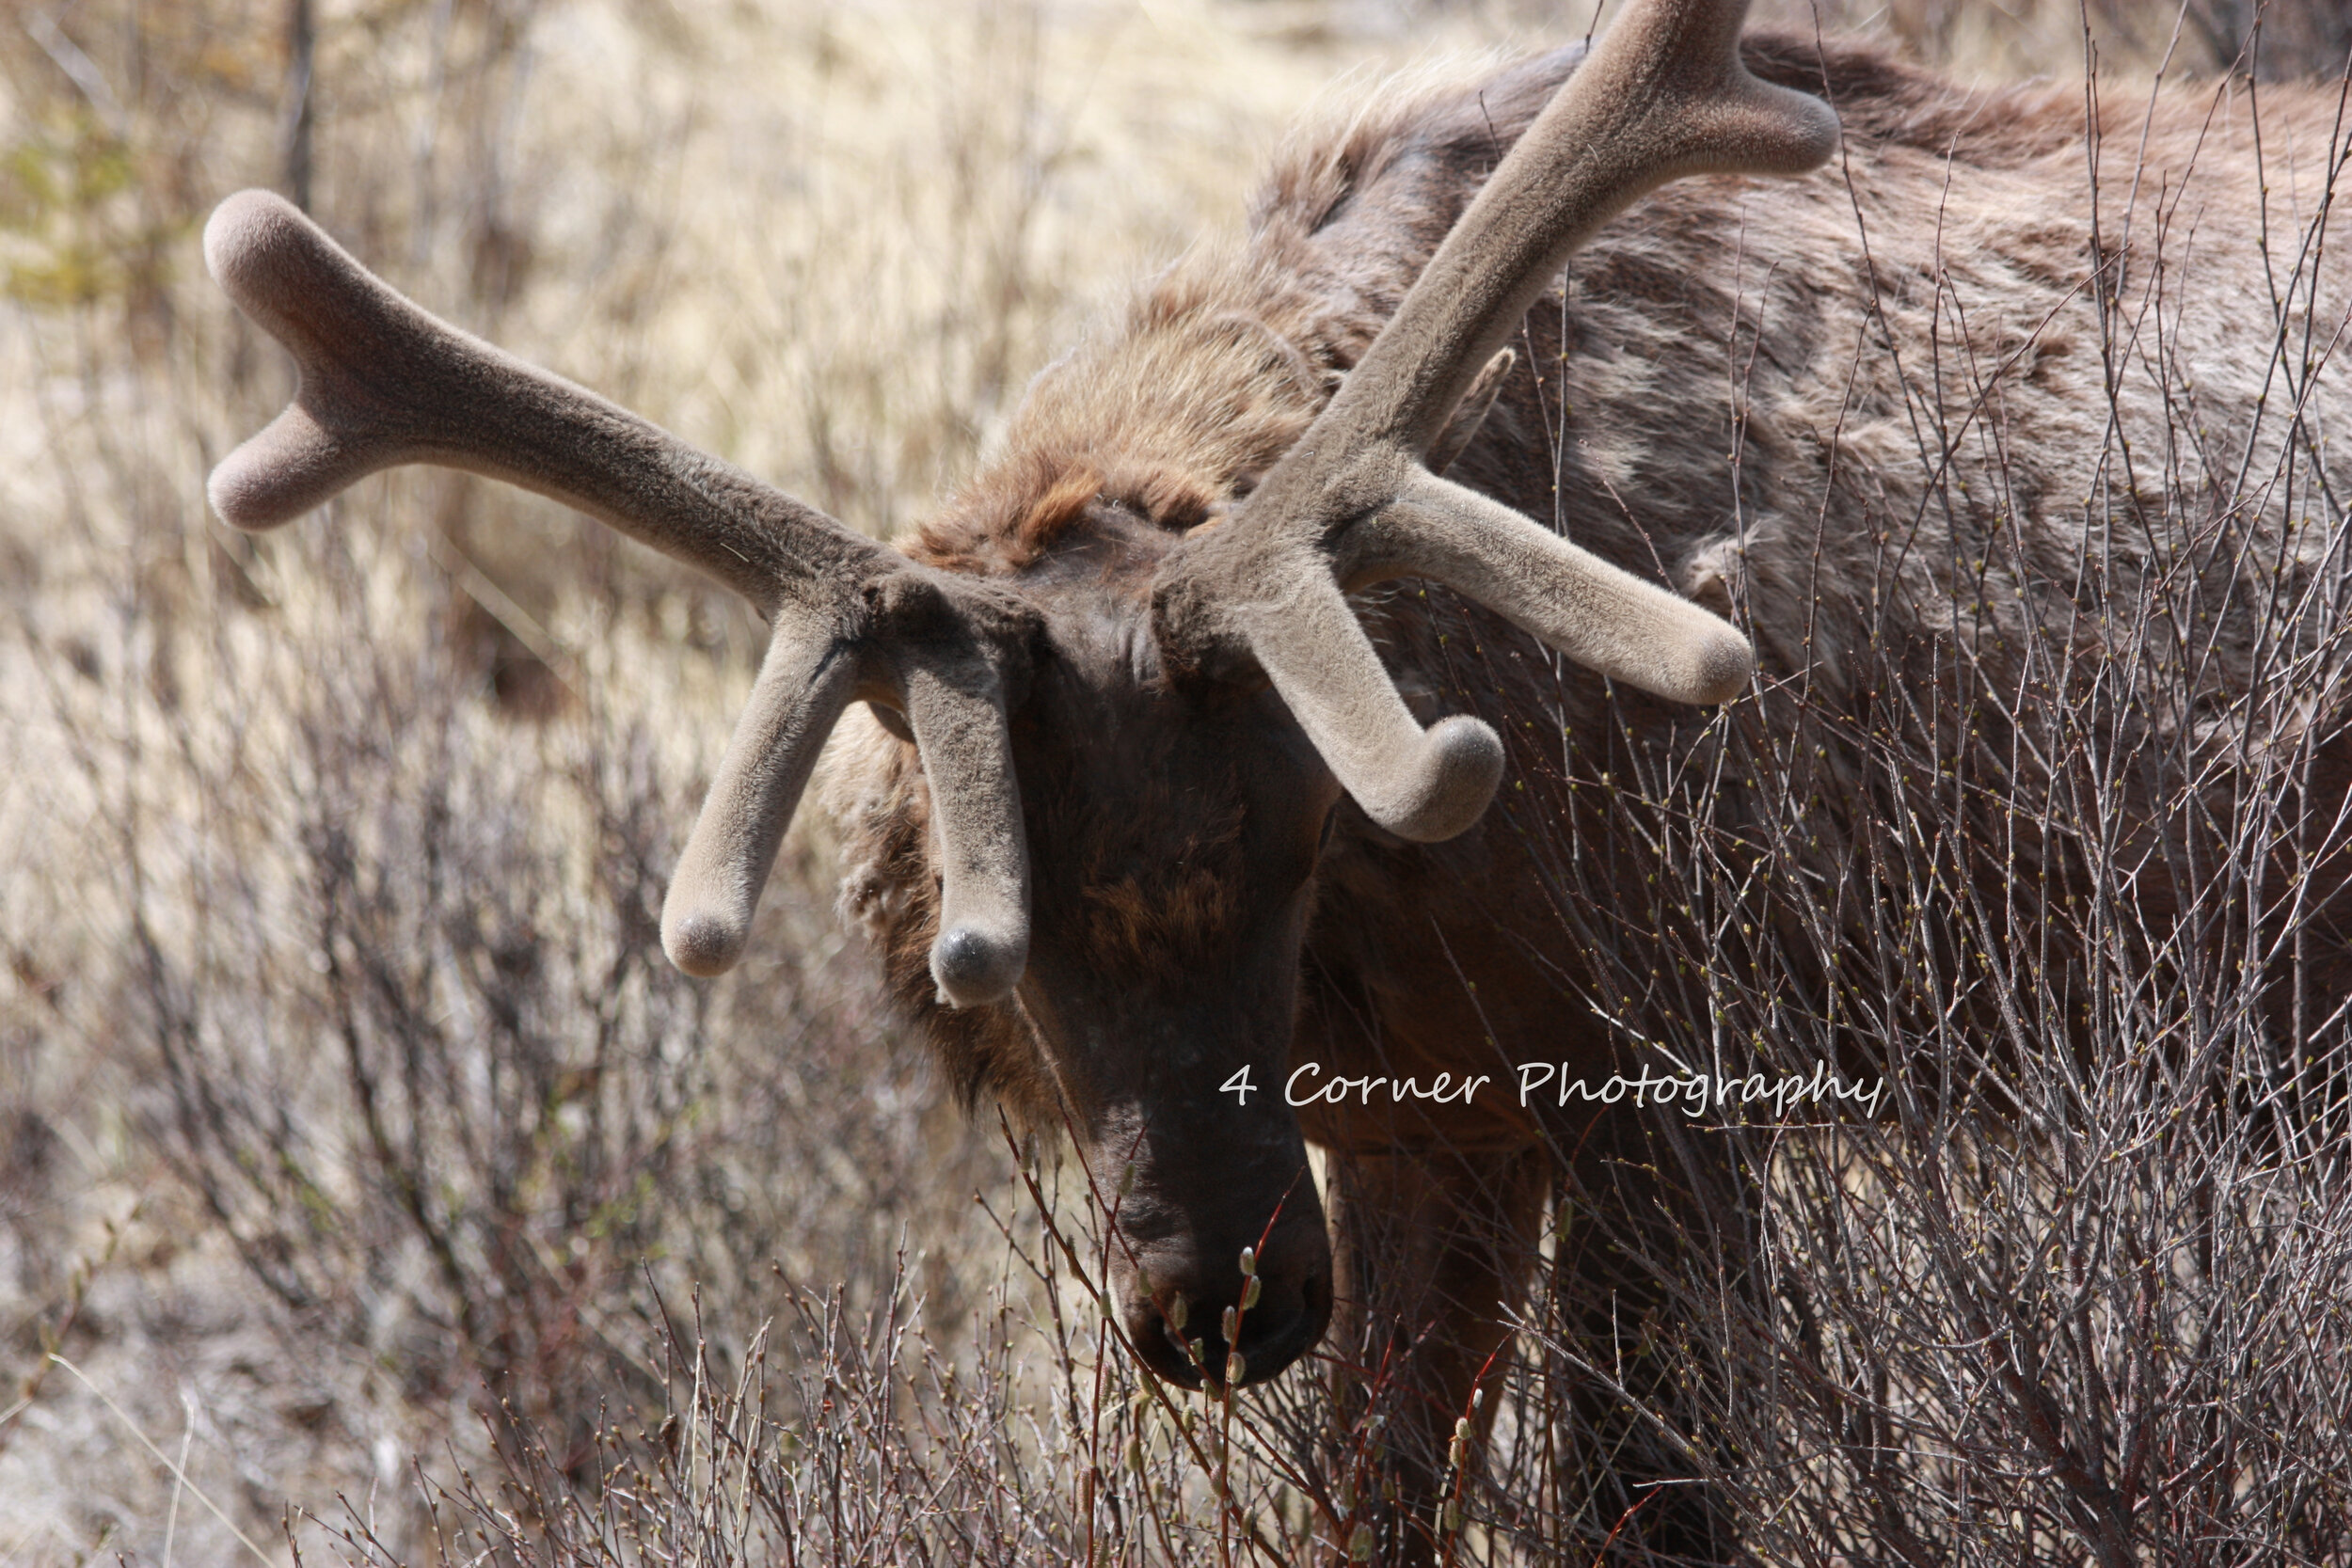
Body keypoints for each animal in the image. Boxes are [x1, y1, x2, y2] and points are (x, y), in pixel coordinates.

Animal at [201, 0, 2352, 1558]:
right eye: (1000, 945)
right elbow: (1364, 1502)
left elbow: (1642, 1506)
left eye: (1308, 832)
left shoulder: (1671, 1044)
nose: (1214, 1296)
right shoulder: (1431, 1115)